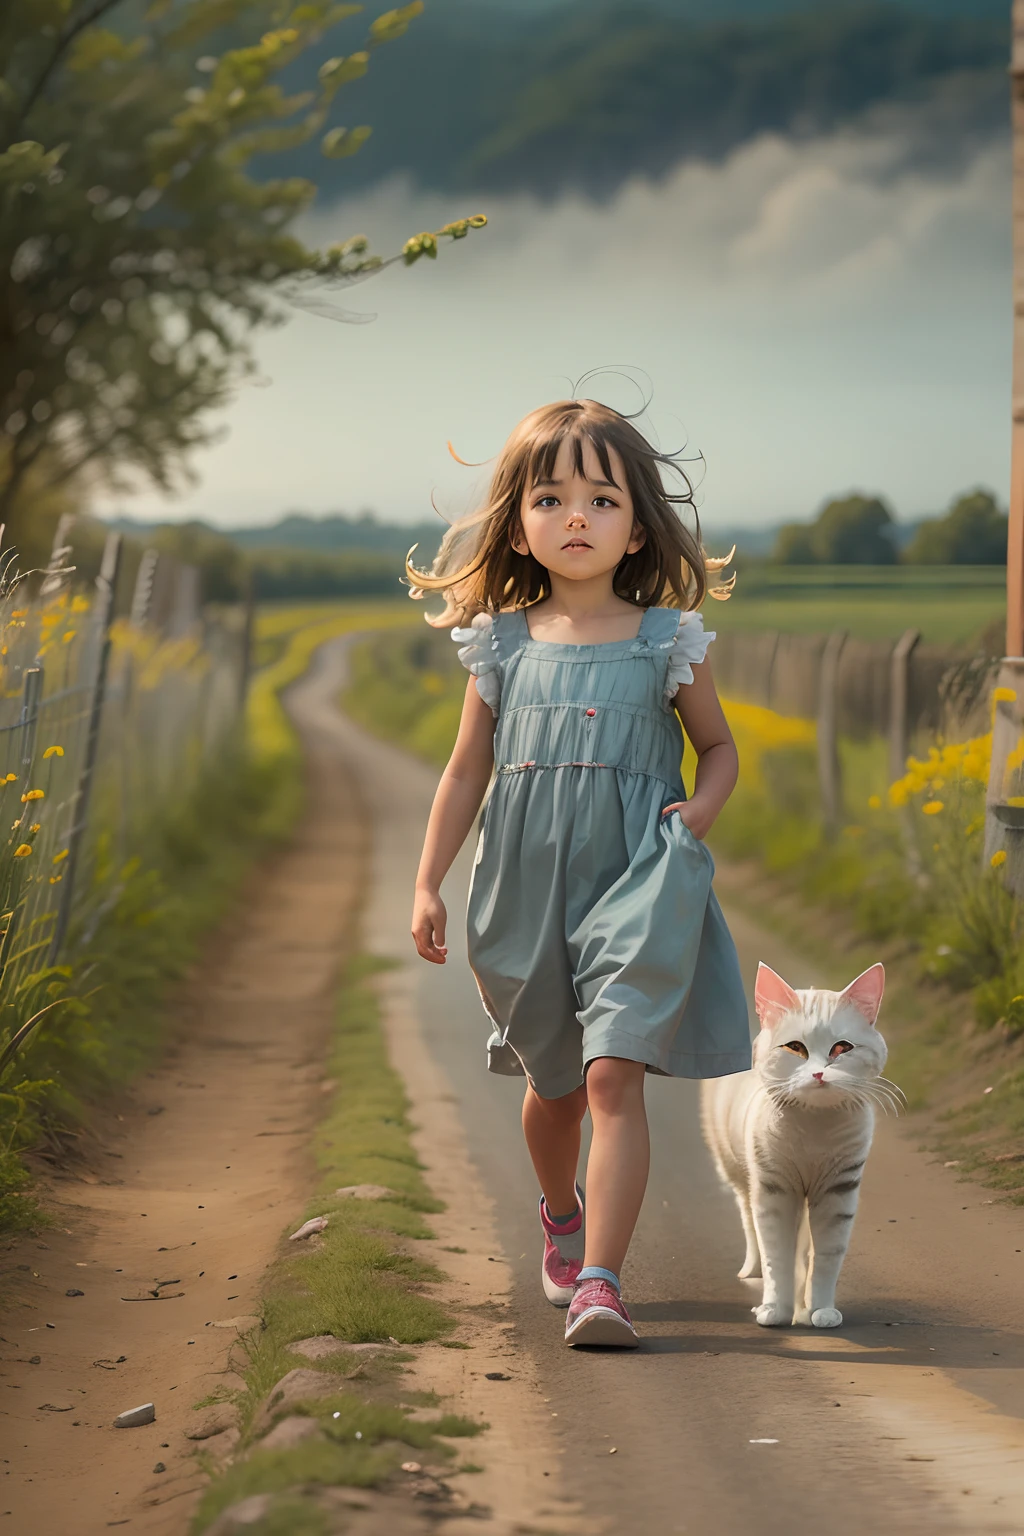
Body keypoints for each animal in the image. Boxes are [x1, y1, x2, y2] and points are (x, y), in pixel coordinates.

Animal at [700, 964, 902, 1327]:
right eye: (795, 1047)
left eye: (842, 1048)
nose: (819, 1074)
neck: (814, 1128)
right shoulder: (774, 1189)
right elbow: (776, 1254)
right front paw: (776, 1310)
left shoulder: (837, 1191)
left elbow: (827, 1257)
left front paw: (819, 1309)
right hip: (737, 1173)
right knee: (750, 1224)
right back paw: (753, 1274)